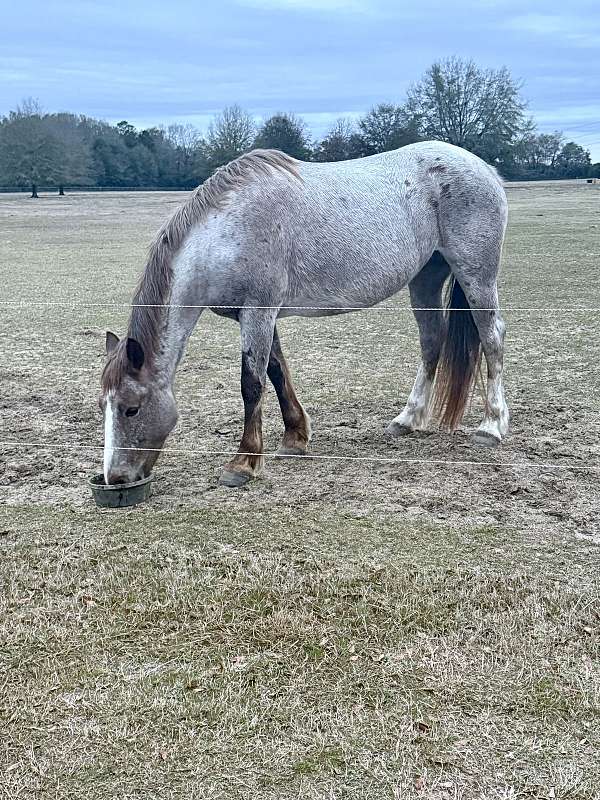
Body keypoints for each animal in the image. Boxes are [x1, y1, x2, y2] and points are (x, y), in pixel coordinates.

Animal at [100, 141, 509, 488]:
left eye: (131, 409)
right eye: (104, 406)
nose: (115, 478)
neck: (227, 231)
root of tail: (484, 168)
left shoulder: (259, 312)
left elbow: (252, 383)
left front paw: (243, 462)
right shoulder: (259, 317)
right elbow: (277, 371)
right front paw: (295, 437)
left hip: (476, 276)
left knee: (492, 338)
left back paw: (491, 426)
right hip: (426, 277)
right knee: (432, 340)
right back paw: (407, 420)